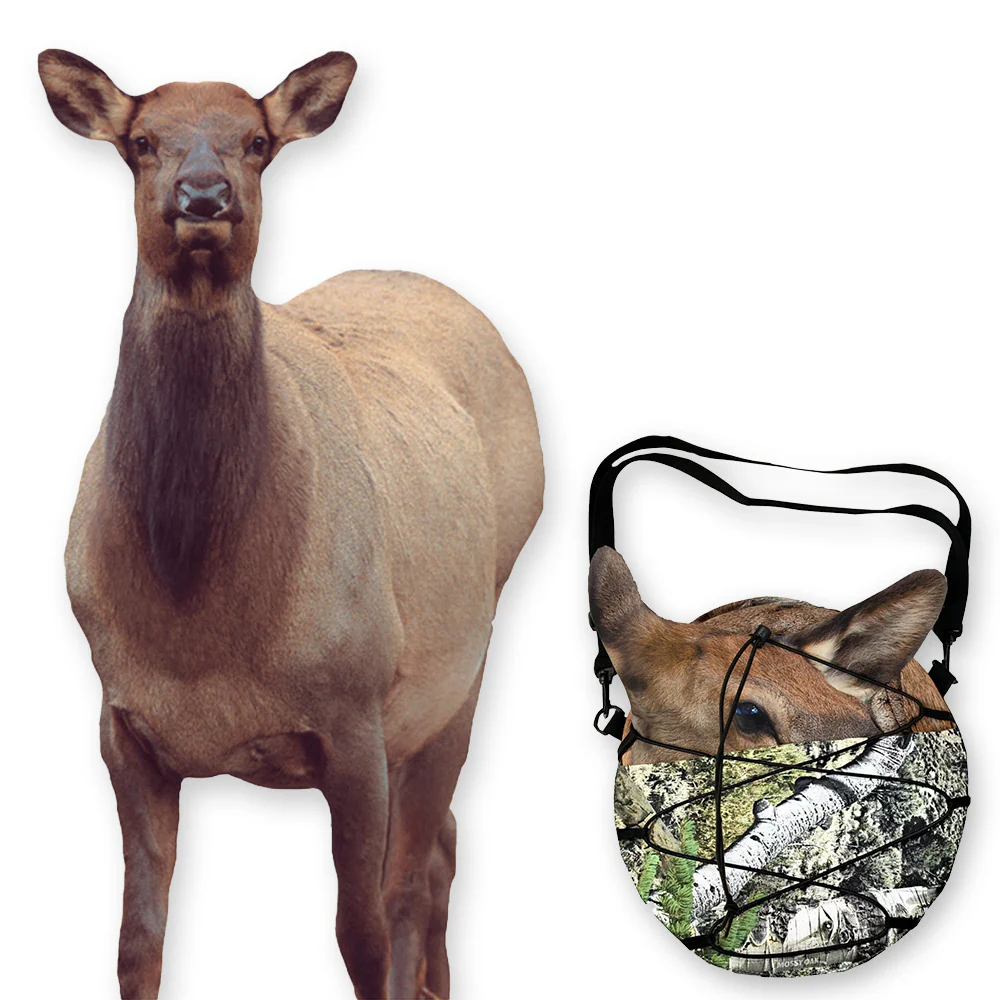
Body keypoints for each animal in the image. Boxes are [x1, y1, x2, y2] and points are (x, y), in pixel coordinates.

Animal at [37, 48, 544, 1000]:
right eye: (141, 141)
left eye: (258, 142)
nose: (204, 197)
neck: (198, 624)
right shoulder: (120, 723)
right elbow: (135, 943)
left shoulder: (354, 714)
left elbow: (362, 934)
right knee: (446, 845)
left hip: (459, 667)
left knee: (416, 875)